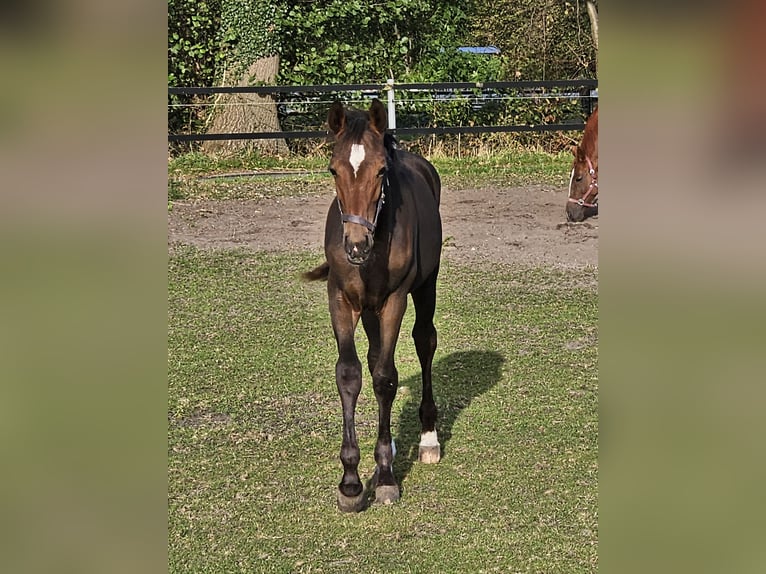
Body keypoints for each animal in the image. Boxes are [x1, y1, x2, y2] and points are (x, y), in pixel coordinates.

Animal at [304, 98, 440, 512]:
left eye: (381, 171)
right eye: (333, 169)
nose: (355, 245)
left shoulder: (394, 299)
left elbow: (385, 378)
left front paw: (385, 478)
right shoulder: (341, 299)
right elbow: (350, 374)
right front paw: (350, 482)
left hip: (425, 285)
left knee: (424, 340)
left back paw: (428, 437)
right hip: (369, 310)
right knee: (377, 351)